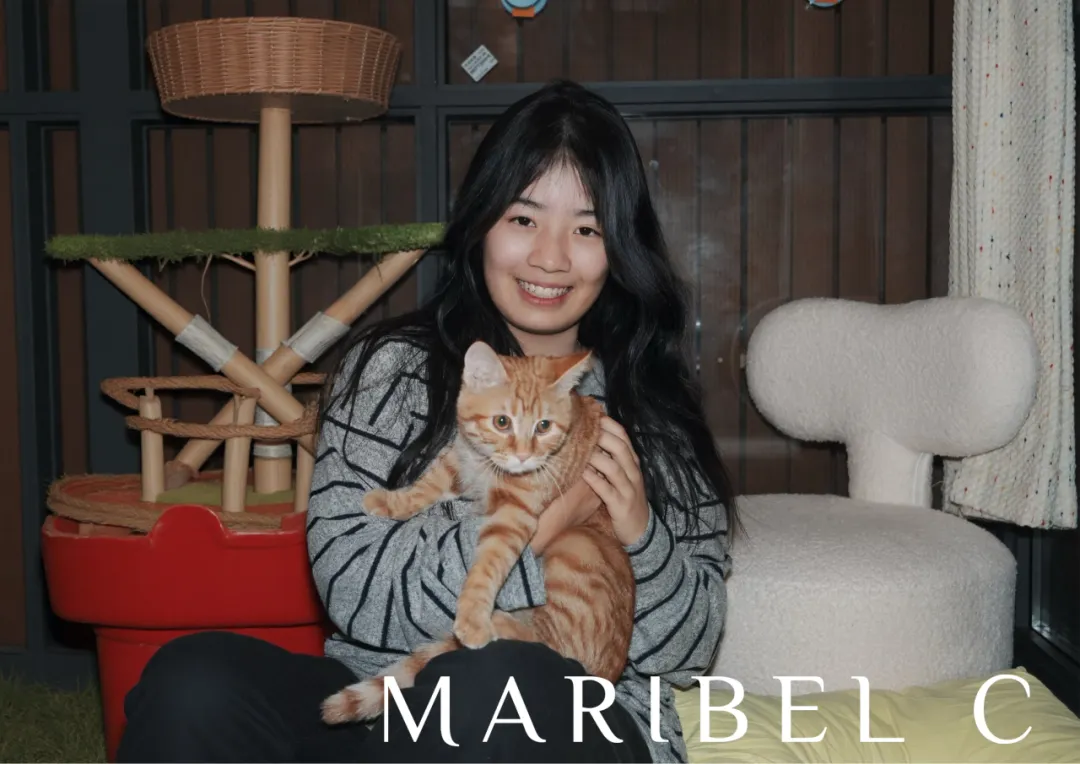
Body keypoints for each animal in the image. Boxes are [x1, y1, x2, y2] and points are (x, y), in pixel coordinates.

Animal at [320, 340, 635, 725]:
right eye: (502, 422)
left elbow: (488, 566)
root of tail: (607, 676)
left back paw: (496, 623)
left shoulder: (514, 515)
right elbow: (425, 487)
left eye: (543, 426)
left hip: (577, 547)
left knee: (545, 639)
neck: (489, 467)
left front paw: (471, 617)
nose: (523, 457)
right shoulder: (458, 461)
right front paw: (390, 501)